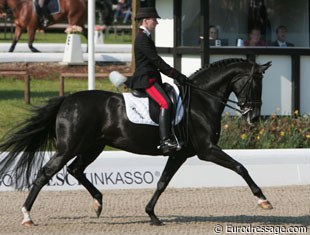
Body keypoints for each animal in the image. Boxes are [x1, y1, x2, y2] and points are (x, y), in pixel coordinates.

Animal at [0, 58, 272, 226]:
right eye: (254, 84)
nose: (254, 117)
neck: (201, 101)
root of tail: (67, 100)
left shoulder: (179, 153)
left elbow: (162, 182)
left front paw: (152, 215)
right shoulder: (207, 150)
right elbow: (240, 167)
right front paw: (263, 200)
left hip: (93, 146)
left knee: (75, 169)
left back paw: (98, 203)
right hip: (70, 146)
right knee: (47, 172)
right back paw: (27, 216)